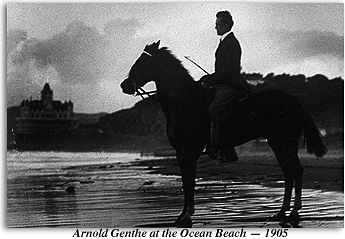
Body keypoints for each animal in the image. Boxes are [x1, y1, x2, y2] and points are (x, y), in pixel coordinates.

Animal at [120, 41, 326, 228]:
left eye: (143, 62)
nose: (125, 85)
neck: (184, 101)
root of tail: (295, 101)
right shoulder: (180, 151)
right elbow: (186, 181)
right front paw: (182, 215)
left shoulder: (189, 150)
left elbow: (189, 182)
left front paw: (187, 215)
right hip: (278, 143)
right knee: (289, 172)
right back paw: (282, 211)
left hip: (283, 142)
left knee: (295, 171)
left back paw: (293, 211)